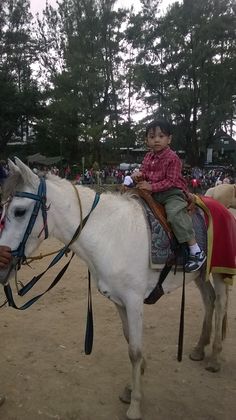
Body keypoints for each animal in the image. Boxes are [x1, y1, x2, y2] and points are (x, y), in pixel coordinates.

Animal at [0, 158, 233, 420]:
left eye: (19, 211)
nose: (2, 263)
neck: (110, 236)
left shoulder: (133, 301)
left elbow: (135, 350)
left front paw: (135, 405)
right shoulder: (119, 301)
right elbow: (129, 341)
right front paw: (131, 387)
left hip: (218, 272)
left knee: (221, 304)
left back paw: (214, 358)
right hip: (199, 275)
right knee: (209, 300)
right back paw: (199, 349)